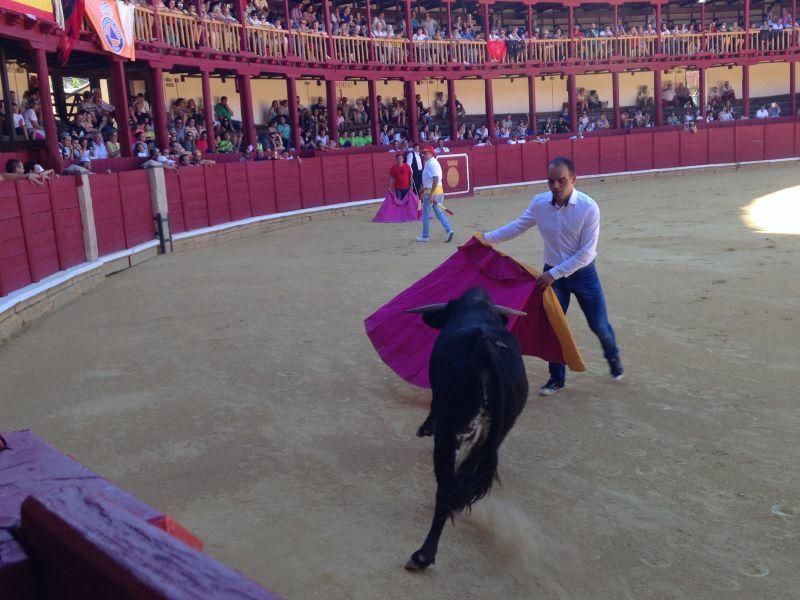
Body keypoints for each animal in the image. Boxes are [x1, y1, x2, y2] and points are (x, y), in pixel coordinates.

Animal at [404, 288, 528, 568]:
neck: (476, 308)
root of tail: (484, 351)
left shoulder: (439, 396)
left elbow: (433, 404)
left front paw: (424, 428)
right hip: (489, 439)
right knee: (462, 480)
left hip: (450, 436)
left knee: (446, 487)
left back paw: (423, 555)